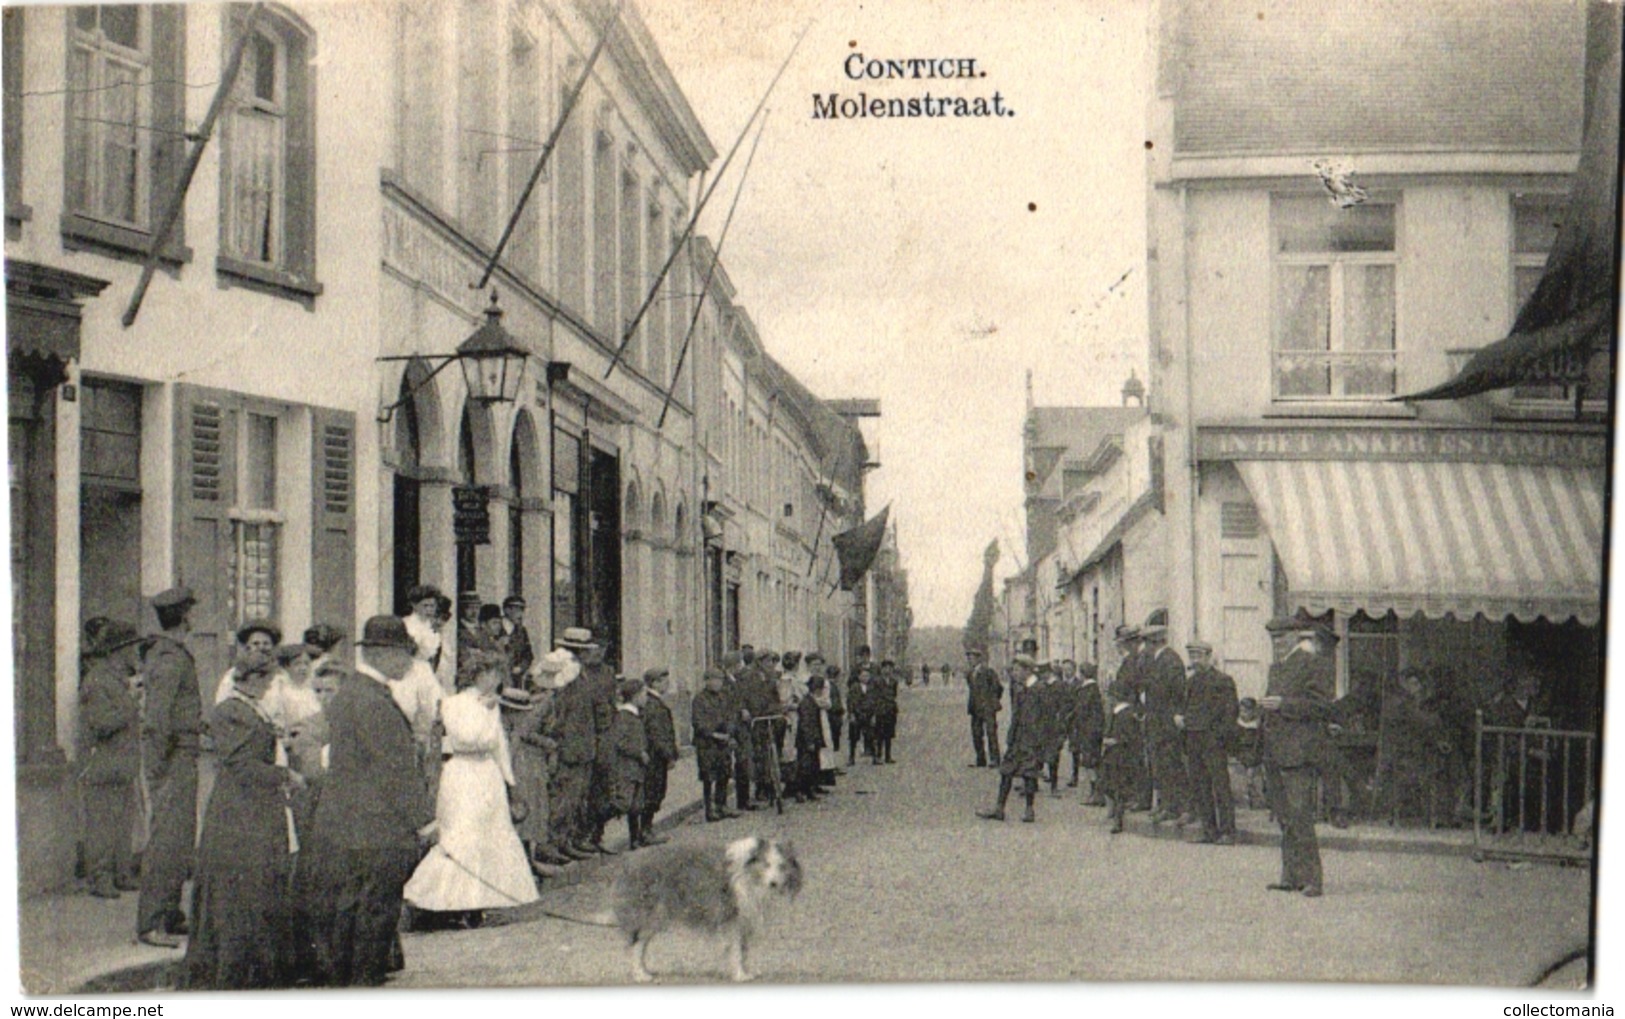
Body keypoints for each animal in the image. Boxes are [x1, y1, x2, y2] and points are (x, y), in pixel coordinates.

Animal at [611, 838, 802, 981]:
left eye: (782, 866)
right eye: (766, 864)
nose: (774, 884)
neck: (749, 875)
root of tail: (627, 863)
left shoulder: (745, 920)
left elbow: (743, 950)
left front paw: (745, 972)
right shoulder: (731, 918)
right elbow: (737, 950)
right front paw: (740, 975)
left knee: (640, 946)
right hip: (650, 916)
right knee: (636, 945)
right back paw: (640, 975)